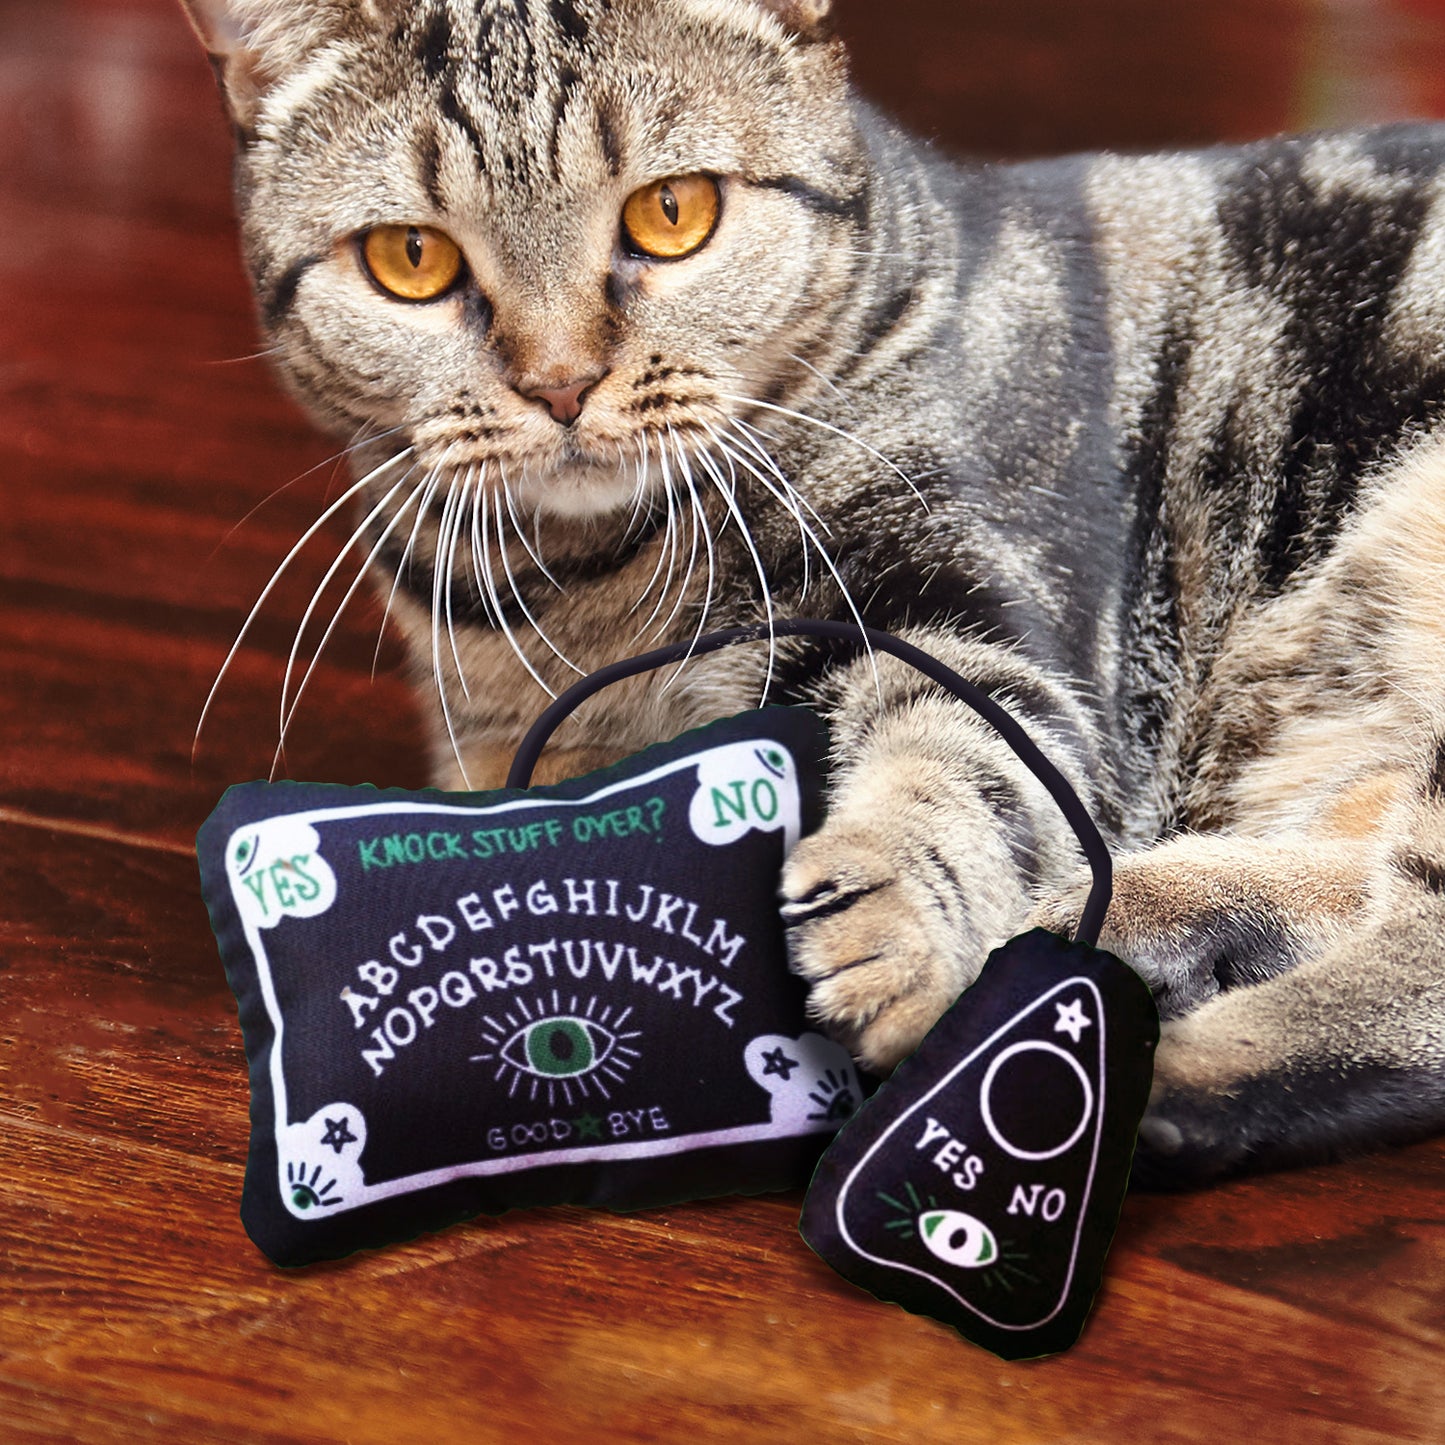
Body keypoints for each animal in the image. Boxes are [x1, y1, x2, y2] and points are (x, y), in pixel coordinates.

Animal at [177, 0, 1445, 1190]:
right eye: (410, 260)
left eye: (671, 213)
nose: (560, 382)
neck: (586, 585)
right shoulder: (497, 744)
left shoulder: (969, 615)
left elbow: (958, 762)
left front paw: (890, 919)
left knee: (1415, 972)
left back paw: (1168, 1059)